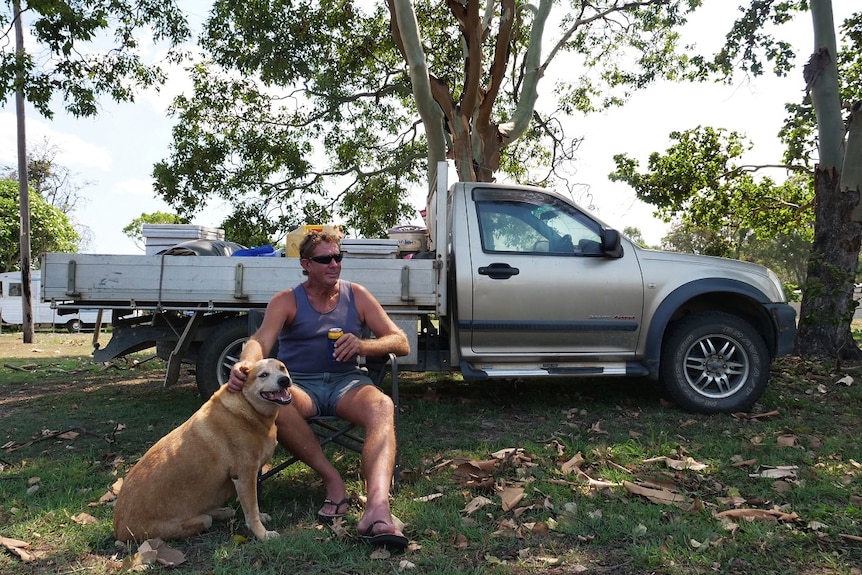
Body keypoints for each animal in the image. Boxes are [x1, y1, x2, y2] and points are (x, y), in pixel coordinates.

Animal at [114, 358, 294, 544]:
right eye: (263, 375)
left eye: (282, 368)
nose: (284, 380)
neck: (247, 405)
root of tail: (119, 530)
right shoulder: (245, 475)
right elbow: (252, 511)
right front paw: (262, 534)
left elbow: (254, 507)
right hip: (194, 522)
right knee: (205, 518)